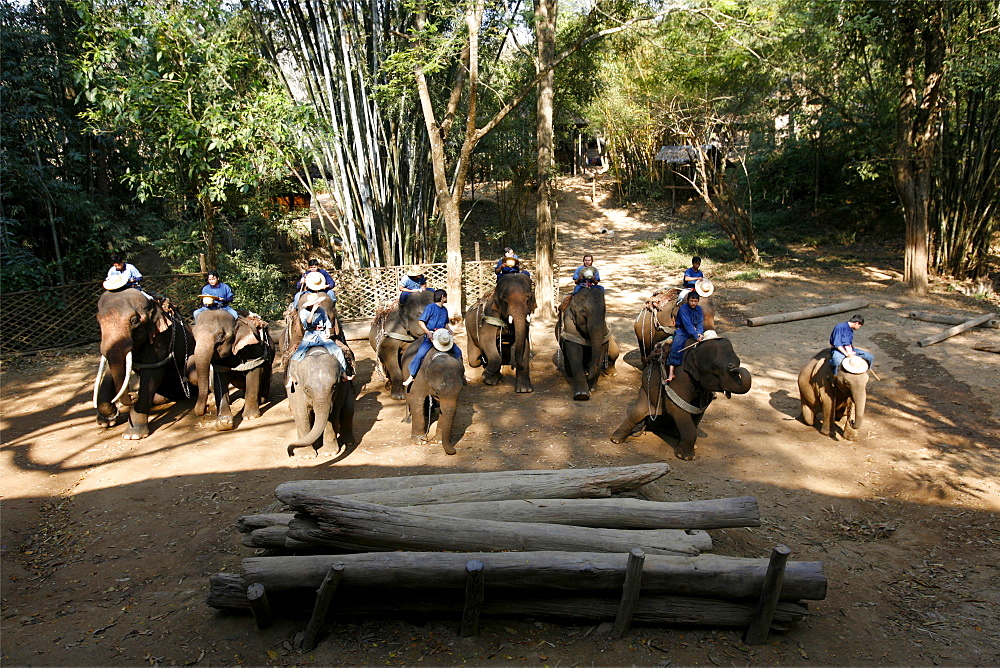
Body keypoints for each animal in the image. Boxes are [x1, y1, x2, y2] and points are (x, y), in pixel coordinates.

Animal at [94, 288, 197, 438]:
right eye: (98, 320)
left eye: (135, 320)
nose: (132, 395)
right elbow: (110, 370)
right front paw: (107, 422)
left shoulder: (161, 336)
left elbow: (152, 371)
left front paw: (133, 435)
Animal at [608, 336, 752, 462]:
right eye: (714, 368)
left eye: (738, 361)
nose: (734, 367)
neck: (695, 349)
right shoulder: (680, 376)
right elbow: (676, 406)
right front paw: (685, 457)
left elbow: (699, 408)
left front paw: (687, 445)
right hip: (645, 390)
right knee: (637, 413)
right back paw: (616, 439)